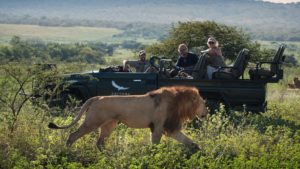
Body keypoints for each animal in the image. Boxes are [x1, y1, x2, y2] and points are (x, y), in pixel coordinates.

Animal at [48, 86, 209, 151]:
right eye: (204, 103)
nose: (206, 113)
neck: (180, 103)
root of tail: (96, 97)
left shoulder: (169, 127)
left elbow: (189, 141)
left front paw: (199, 150)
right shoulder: (158, 127)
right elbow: (155, 145)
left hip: (109, 125)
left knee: (99, 143)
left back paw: (107, 155)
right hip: (92, 122)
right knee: (73, 135)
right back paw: (67, 151)